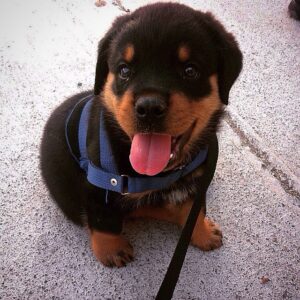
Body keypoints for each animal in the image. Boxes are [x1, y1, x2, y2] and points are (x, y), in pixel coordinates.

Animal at [39, 2, 241, 268]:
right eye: (124, 70)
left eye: (190, 70)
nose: (149, 107)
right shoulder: (100, 184)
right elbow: (104, 222)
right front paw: (112, 250)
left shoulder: (197, 180)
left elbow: (195, 211)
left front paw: (203, 233)